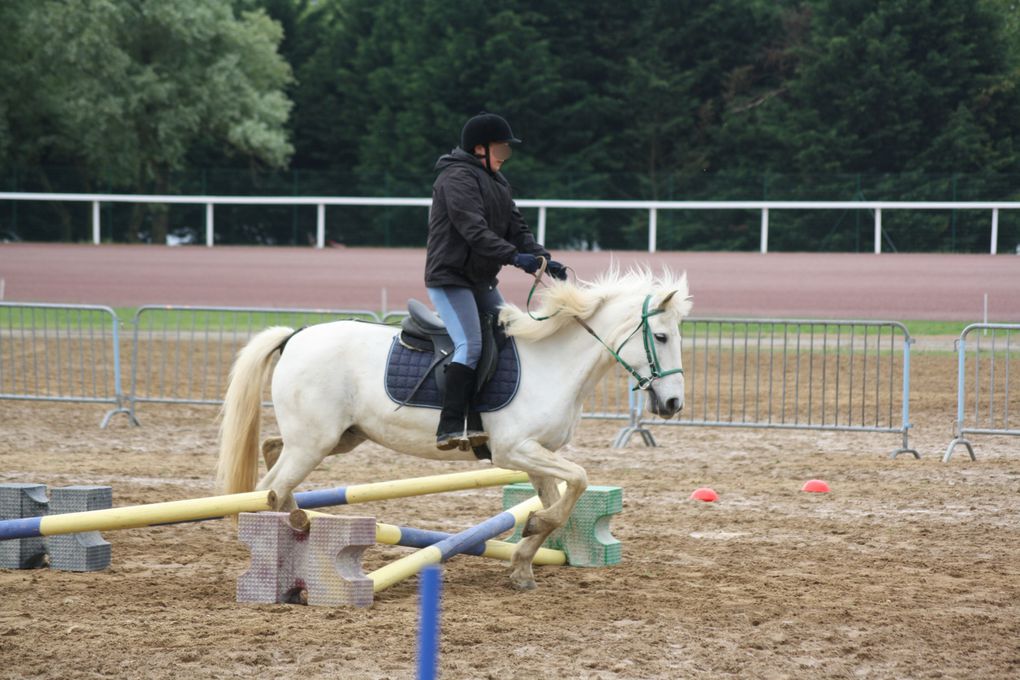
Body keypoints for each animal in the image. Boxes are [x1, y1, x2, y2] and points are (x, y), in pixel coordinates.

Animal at [215, 265, 693, 591]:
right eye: (662, 337)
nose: (673, 404)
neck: (553, 362)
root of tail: (295, 335)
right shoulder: (514, 450)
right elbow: (578, 479)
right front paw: (533, 530)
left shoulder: (537, 455)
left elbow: (562, 501)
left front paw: (523, 562)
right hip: (314, 442)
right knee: (270, 489)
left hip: (336, 438)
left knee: (273, 456)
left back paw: (301, 524)